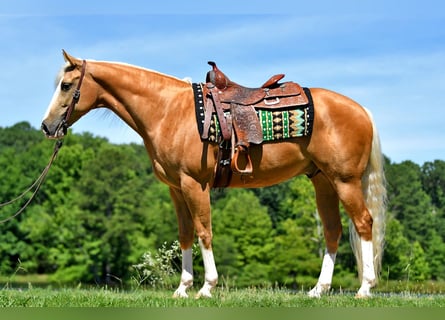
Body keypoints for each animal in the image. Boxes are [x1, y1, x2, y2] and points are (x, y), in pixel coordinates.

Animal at [40, 50, 386, 298]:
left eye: (67, 86)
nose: (47, 126)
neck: (168, 111)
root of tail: (362, 110)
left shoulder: (195, 184)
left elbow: (204, 231)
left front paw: (207, 287)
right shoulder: (176, 188)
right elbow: (185, 234)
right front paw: (182, 288)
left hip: (344, 181)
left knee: (363, 223)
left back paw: (365, 288)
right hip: (323, 181)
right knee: (332, 231)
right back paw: (318, 290)